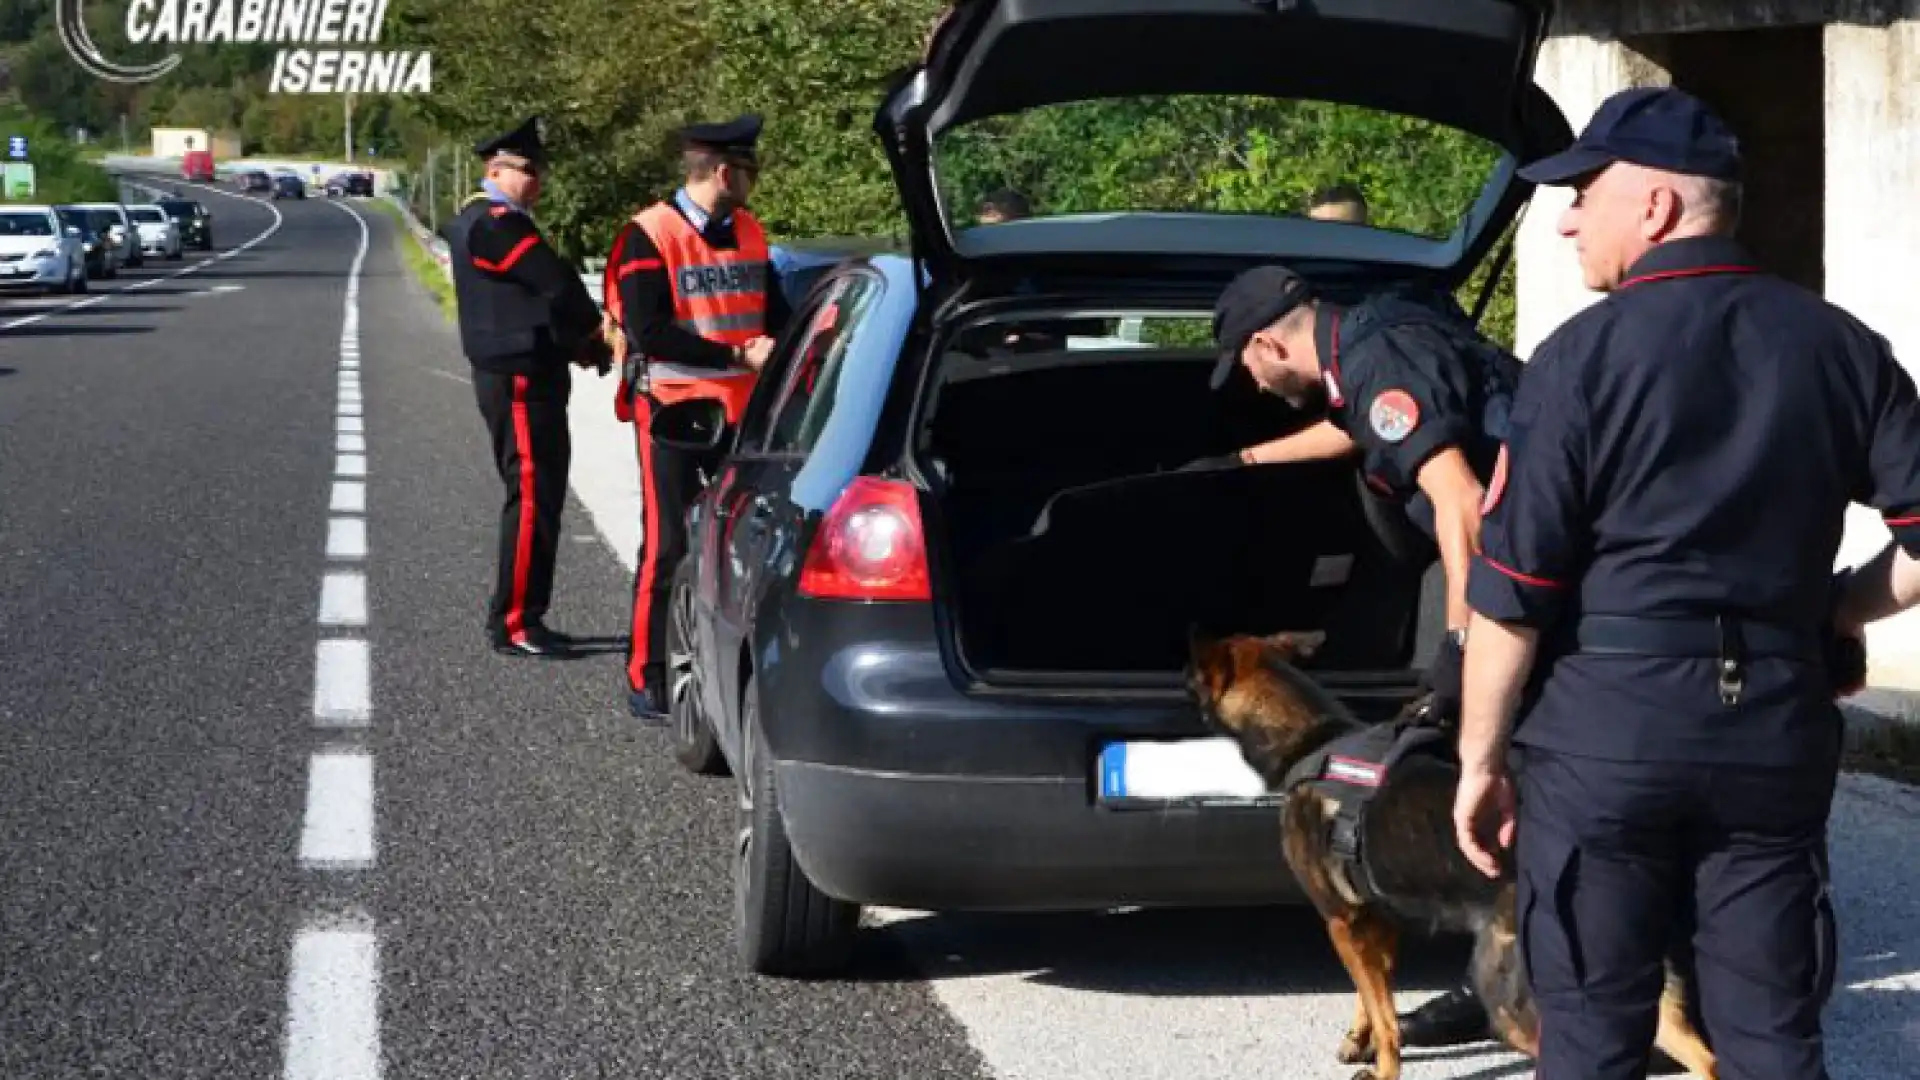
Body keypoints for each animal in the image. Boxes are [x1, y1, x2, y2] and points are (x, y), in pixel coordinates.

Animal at [1175, 630, 1720, 1076]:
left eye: (1192, 680)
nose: (1177, 681)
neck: (1312, 738)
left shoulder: (1342, 921)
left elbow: (1386, 1018)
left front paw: (1381, 1068)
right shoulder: (1377, 921)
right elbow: (1372, 998)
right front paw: (1358, 1040)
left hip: (1508, 993)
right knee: (1704, 1058)